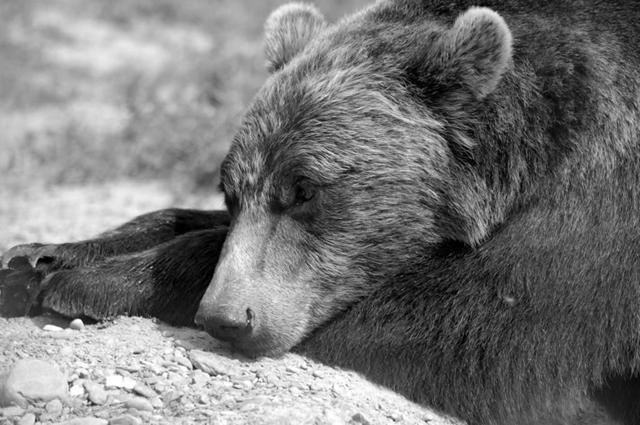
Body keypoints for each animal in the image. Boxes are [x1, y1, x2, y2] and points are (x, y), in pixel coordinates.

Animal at [1, 0, 640, 422]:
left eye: (306, 189)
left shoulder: (599, 210)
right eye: (230, 190)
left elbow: (473, 332)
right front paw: (39, 256)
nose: (227, 318)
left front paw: (89, 281)